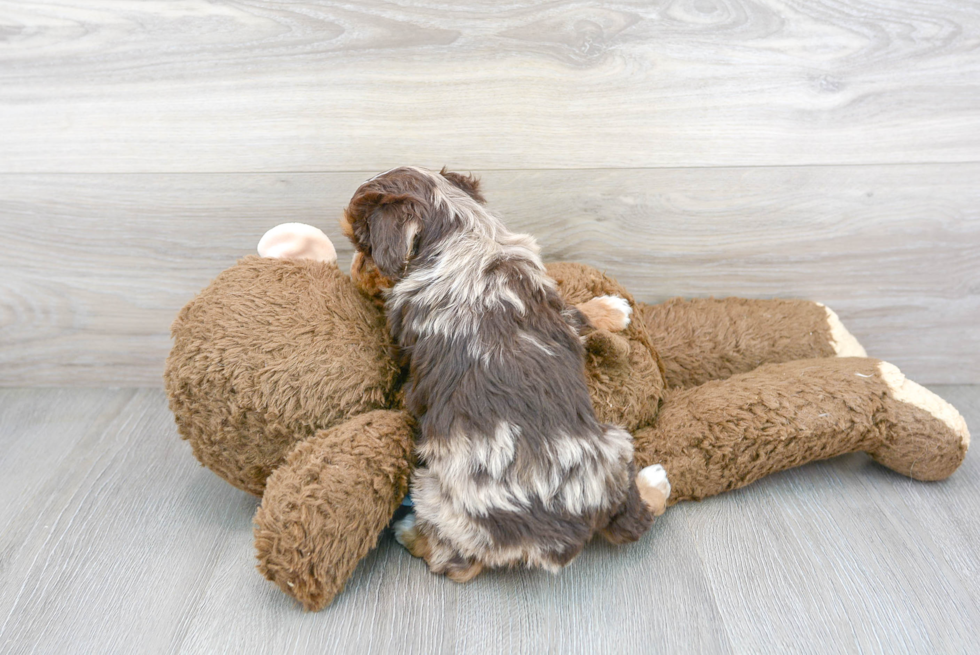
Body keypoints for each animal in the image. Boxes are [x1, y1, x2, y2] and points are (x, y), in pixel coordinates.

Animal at [340, 167, 668, 580]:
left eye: (362, 244)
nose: (352, 271)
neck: (461, 235)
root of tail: (571, 526)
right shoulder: (552, 306)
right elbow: (578, 313)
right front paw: (612, 307)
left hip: (435, 491)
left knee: (457, 563)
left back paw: (407, 531)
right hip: (615, 444)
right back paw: (655, 482)